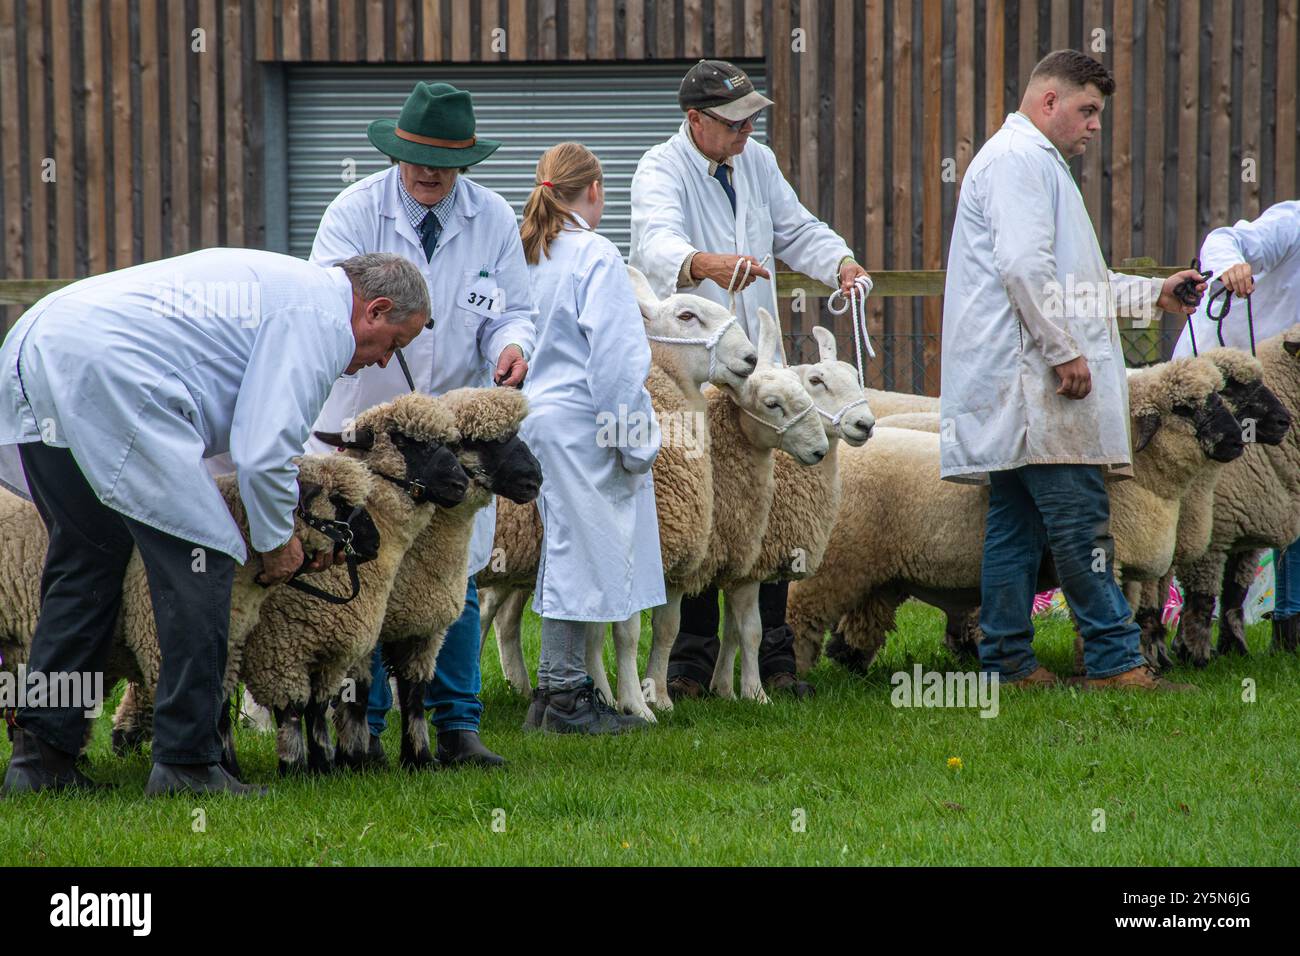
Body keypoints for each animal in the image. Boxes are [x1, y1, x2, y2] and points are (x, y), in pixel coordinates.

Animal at [234, 393, 471, 775]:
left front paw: (417, 758)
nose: (459, 485)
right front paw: (321, 765)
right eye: (404, 440)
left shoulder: (409, 632)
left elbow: (412, 694)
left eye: (451, 444)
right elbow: (317, 704)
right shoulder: (286, 644)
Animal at [479, 264, 759, 720]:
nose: (750, 358)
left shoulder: (672, 563)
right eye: (687, 316)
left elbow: (663, 630)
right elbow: (625, 632)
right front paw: (632, 704)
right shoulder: (628, 553)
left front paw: (653, 696)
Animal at [788, 355, 1244, 676]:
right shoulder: (1102, 559)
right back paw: (794, 678)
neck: (1143, 481)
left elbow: (1131, 616)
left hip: (879, 572)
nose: (1237, 440)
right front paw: (1100, 669)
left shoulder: (1128, 568)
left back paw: (851, 669)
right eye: (1184, 408)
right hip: (833, 563)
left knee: (860, 625)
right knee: (799, 616)